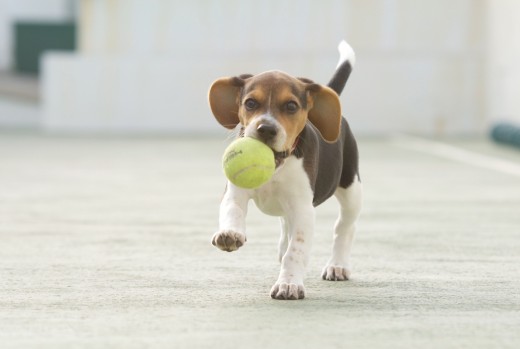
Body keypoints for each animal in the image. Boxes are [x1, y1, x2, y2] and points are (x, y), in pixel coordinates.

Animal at [207, 40, 362, 300]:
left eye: (291, 106)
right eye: (250, 103)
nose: (266, 129)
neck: (278, 166)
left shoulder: (303, 210)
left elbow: (296, 250)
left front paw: (289, 284)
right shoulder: (235, 192)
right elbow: (232, 211)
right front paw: (230, 234)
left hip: (351, 189)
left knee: (344, 227)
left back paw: (338, 265)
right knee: (284, 224)